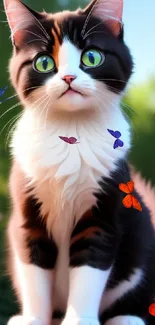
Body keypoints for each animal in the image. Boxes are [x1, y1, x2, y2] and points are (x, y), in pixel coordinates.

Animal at [3, 0, 155, 324]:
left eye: (92, 57)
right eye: (44, 63)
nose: (69, 78)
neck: (70, 132)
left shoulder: (104, 212)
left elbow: (89, 271)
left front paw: (79, 321)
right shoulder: (27, 212)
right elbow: (33, 273)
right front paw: (33, 319)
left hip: (142, 234)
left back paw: (127, 317)